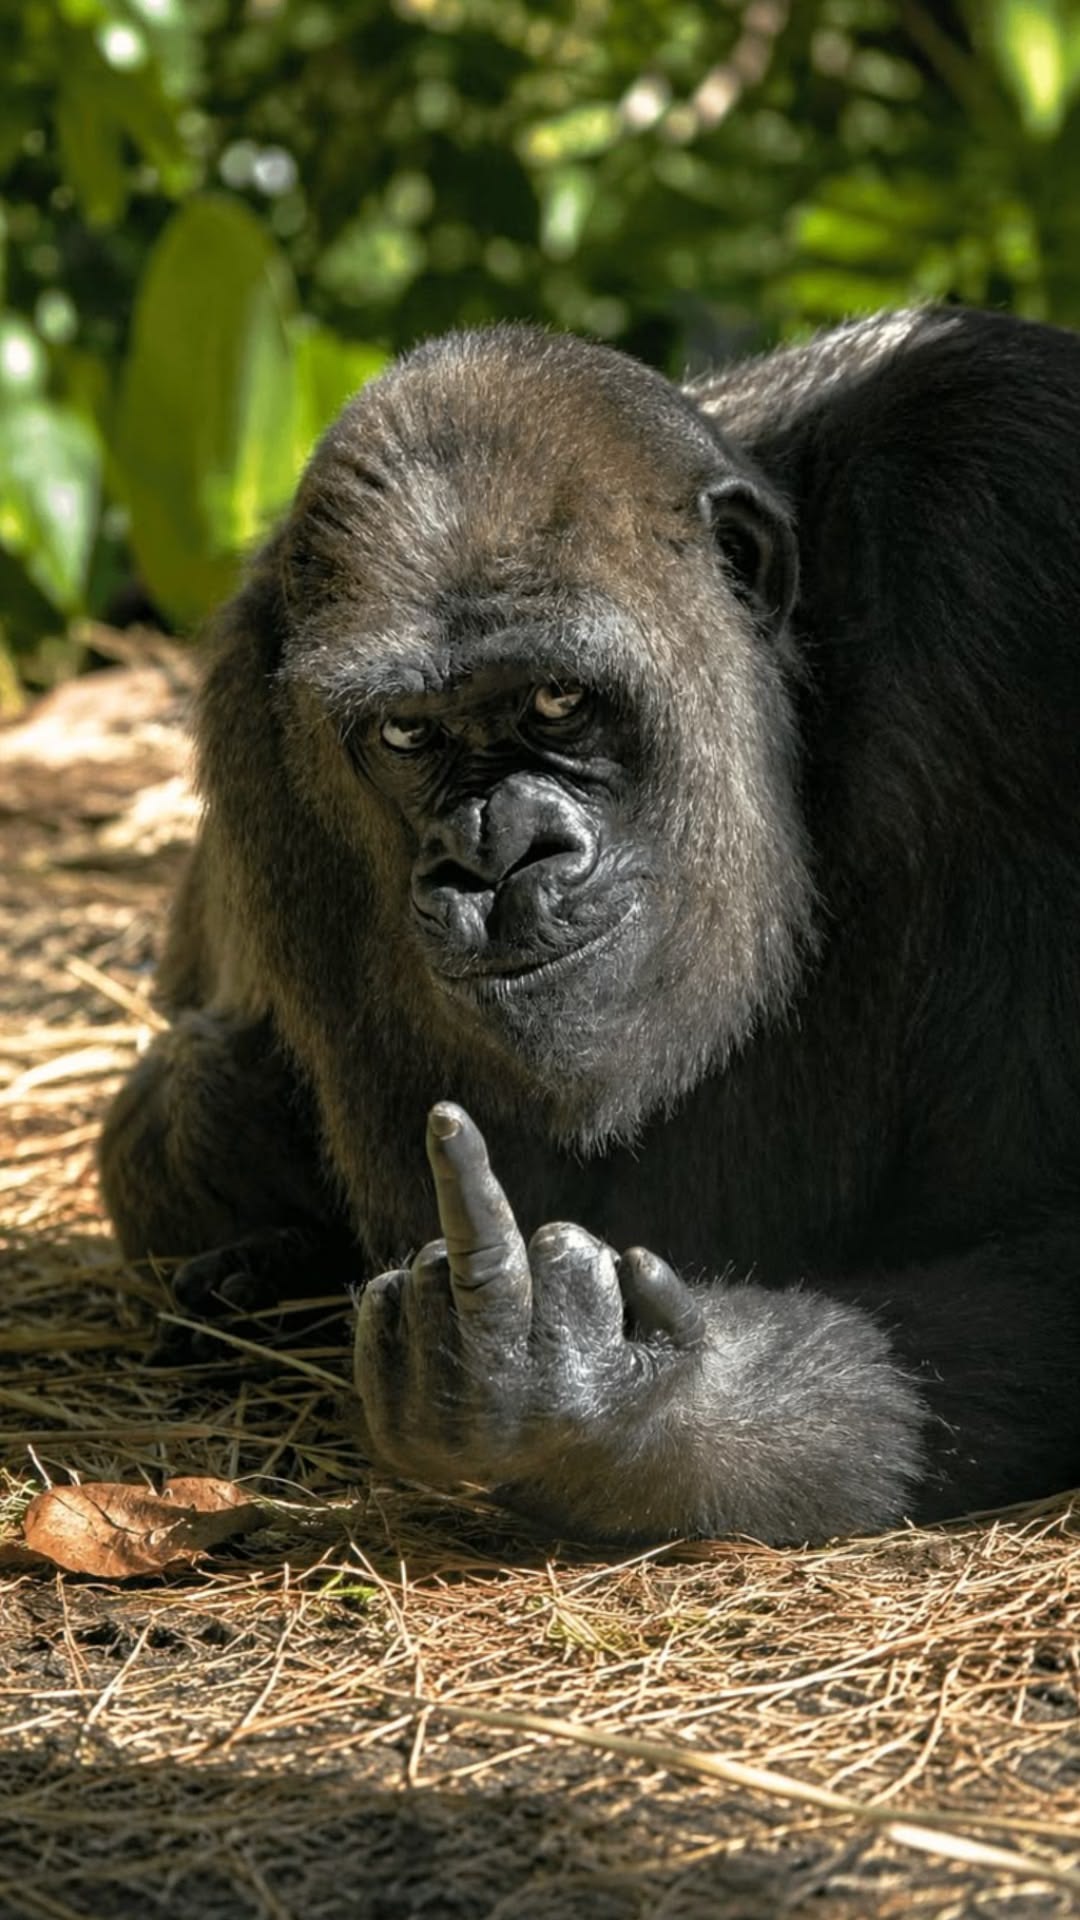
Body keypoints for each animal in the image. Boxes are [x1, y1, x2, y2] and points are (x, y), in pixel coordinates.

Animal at [100, 307, 1080, 1544]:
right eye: (408, 734)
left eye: (560, 700)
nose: (493, 856)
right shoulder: (254, 721)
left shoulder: (1009, 521)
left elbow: (1039, 1241)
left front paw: (627, 1407)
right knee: (186, 1095)